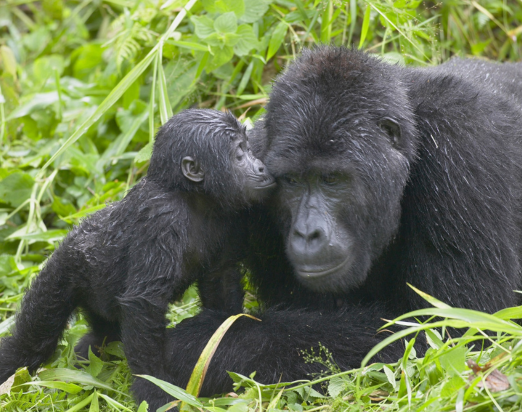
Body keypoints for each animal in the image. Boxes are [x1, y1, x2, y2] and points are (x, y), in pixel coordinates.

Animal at [0, 108, 274, 406]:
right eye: (239, 154)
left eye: (248, 148)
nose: (261, 167)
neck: (191, 196)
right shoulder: (161, 218)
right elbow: (144, 304)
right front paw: (154, 389)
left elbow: (221, 282)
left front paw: (224, 337)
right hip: (64, 269)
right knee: (33, 339)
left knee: (103, 336)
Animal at [156, 46, 520, 398]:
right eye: (291, 181)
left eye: (331, 179)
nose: (307, 233)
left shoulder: (463, 146)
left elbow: (452, 332)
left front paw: (203, 344)